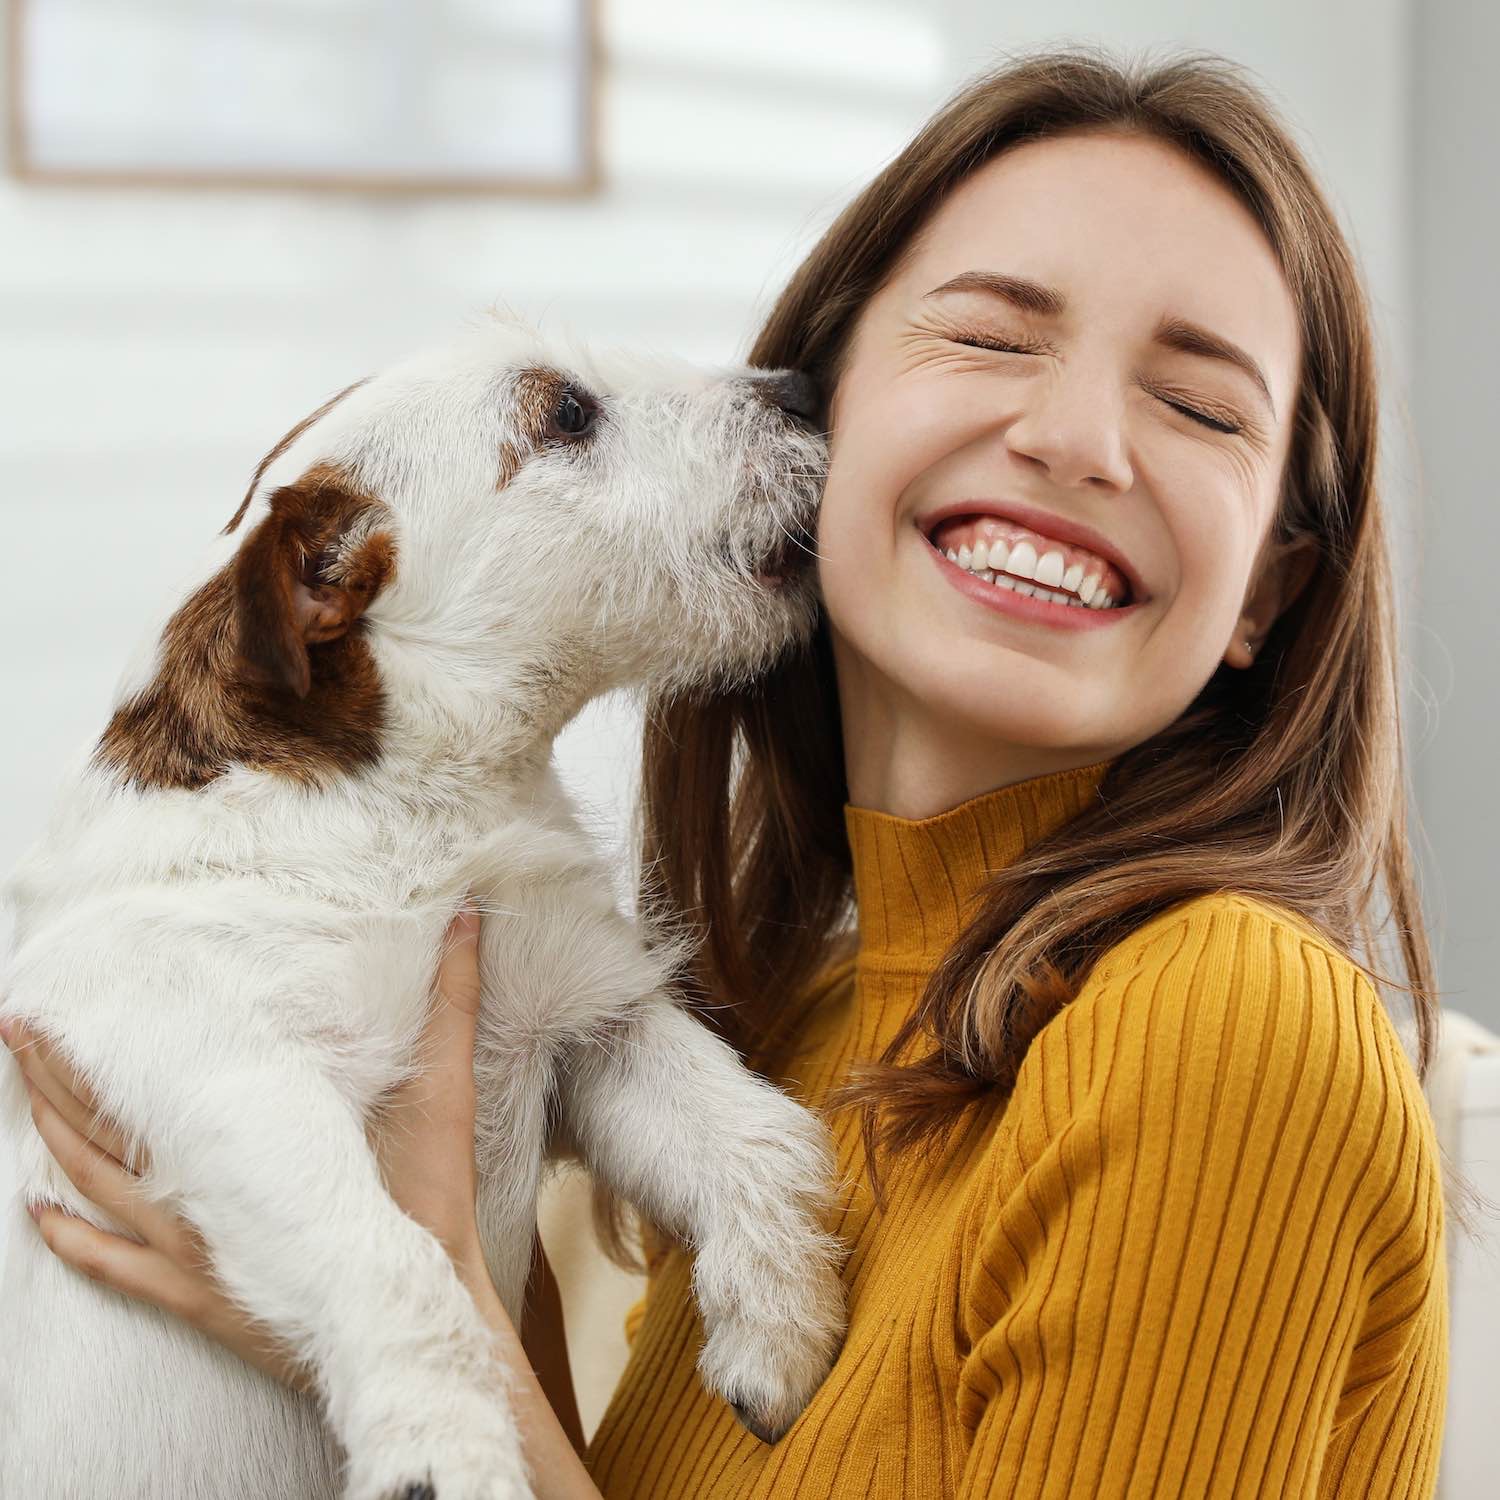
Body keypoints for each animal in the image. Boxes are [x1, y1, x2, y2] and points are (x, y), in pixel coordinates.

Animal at [0, 310, 846, 1494]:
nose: (807, 389)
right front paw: (445, 1449)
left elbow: (763, 1138)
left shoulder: (589, 1026)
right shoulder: (219, 1066)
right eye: (566, 413)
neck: (418, 813)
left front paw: (777, 1329)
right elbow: (393, 1261)